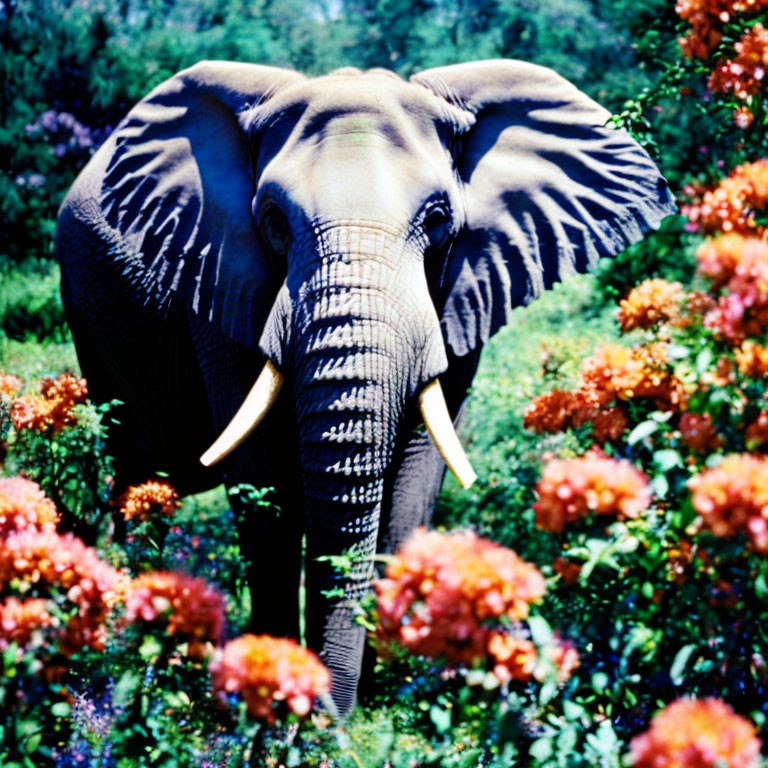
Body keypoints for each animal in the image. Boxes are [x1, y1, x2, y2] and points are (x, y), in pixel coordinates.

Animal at [57, 57, 676, 712]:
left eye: (438, 219)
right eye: (272, 220)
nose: (325, 707)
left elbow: (414, 479)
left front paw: (393, 698)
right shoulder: (220, 280)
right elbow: (264, 487)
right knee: (136, 475)